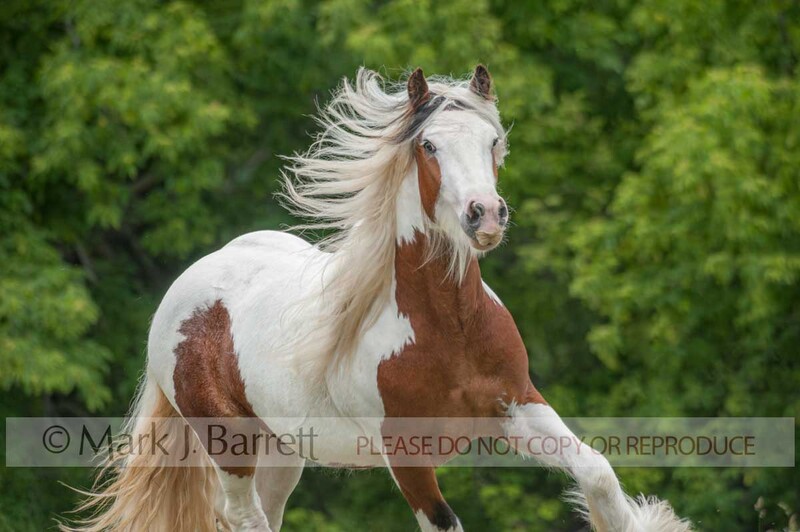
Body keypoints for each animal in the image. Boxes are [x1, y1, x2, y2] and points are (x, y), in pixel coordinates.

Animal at [66, 66, 691, 532]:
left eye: (493, 142)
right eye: (430, 145)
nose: (485, 216)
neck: (448, 329)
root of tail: (186, 287)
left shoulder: (518, 406)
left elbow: (598, 474)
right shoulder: (406, 455)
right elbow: (445, 524)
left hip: (282, 451)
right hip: (230, 441)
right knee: (243, 517)